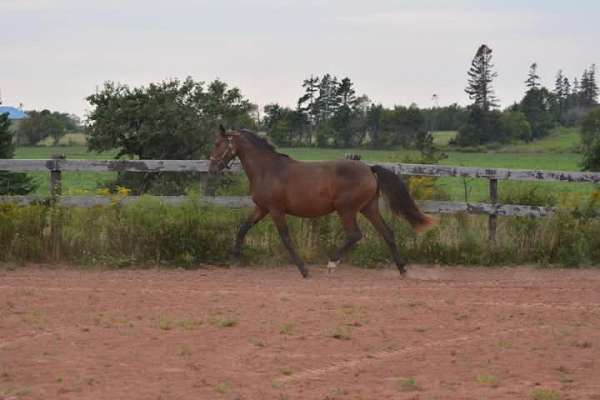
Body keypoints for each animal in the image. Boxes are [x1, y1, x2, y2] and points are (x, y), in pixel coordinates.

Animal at [207, 126, 432, 280]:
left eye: (218, 144)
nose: (212, 168)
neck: (268, 170)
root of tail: (369, 169)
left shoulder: (276, 210)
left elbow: (286, 239)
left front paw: (304, 271)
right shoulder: (261, 208)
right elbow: (242, 229)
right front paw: (234, 259)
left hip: (346, 209)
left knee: (355, 234)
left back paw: (332, 264)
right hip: (369, 208)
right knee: (387, 233)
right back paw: (402, 270)